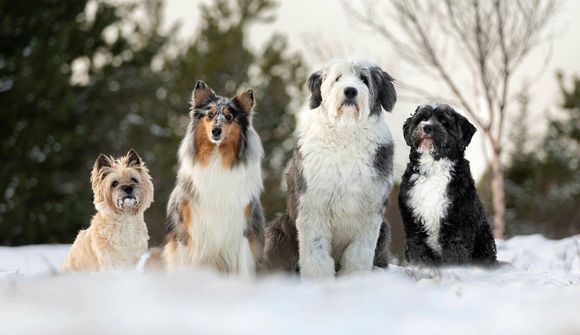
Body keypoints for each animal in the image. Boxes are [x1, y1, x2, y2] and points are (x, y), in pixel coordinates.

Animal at [162, 80, 264, 276]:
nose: (216, 131)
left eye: (229, 117)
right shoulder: (187, 228)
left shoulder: (242, 226)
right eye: (210, 114)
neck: (217, 159)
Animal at [264, 59, 396, 278]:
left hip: (384, 229)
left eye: (364, 79)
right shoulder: (312, 205)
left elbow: (359, 253)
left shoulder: (370, 212)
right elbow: (315, 251)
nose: (350, 91)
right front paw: (319, 279)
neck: (346, 134)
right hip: (279, 231)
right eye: (338, 78)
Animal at [398, 103, 498, 266]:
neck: (434, 168)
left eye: (444, 122)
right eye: (422, 119)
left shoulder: (458, 226)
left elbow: (455, 255)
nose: (427, 127)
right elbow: (419, 254)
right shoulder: (414, 227)